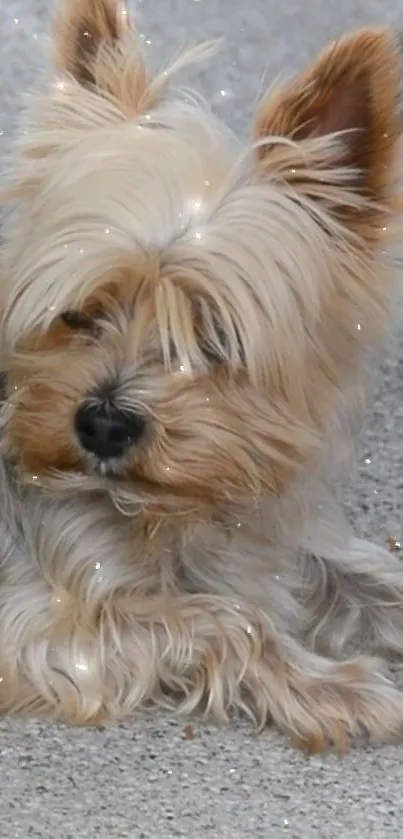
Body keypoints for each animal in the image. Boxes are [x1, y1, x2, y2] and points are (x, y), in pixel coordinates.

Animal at [0, 0, 403, 752]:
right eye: (78, 313)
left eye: (214, 337)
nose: (103, 424)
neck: (165, 509)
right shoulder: (46, 625)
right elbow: (226, 619)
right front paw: (332, 685)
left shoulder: (262, 534)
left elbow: (357, 575)